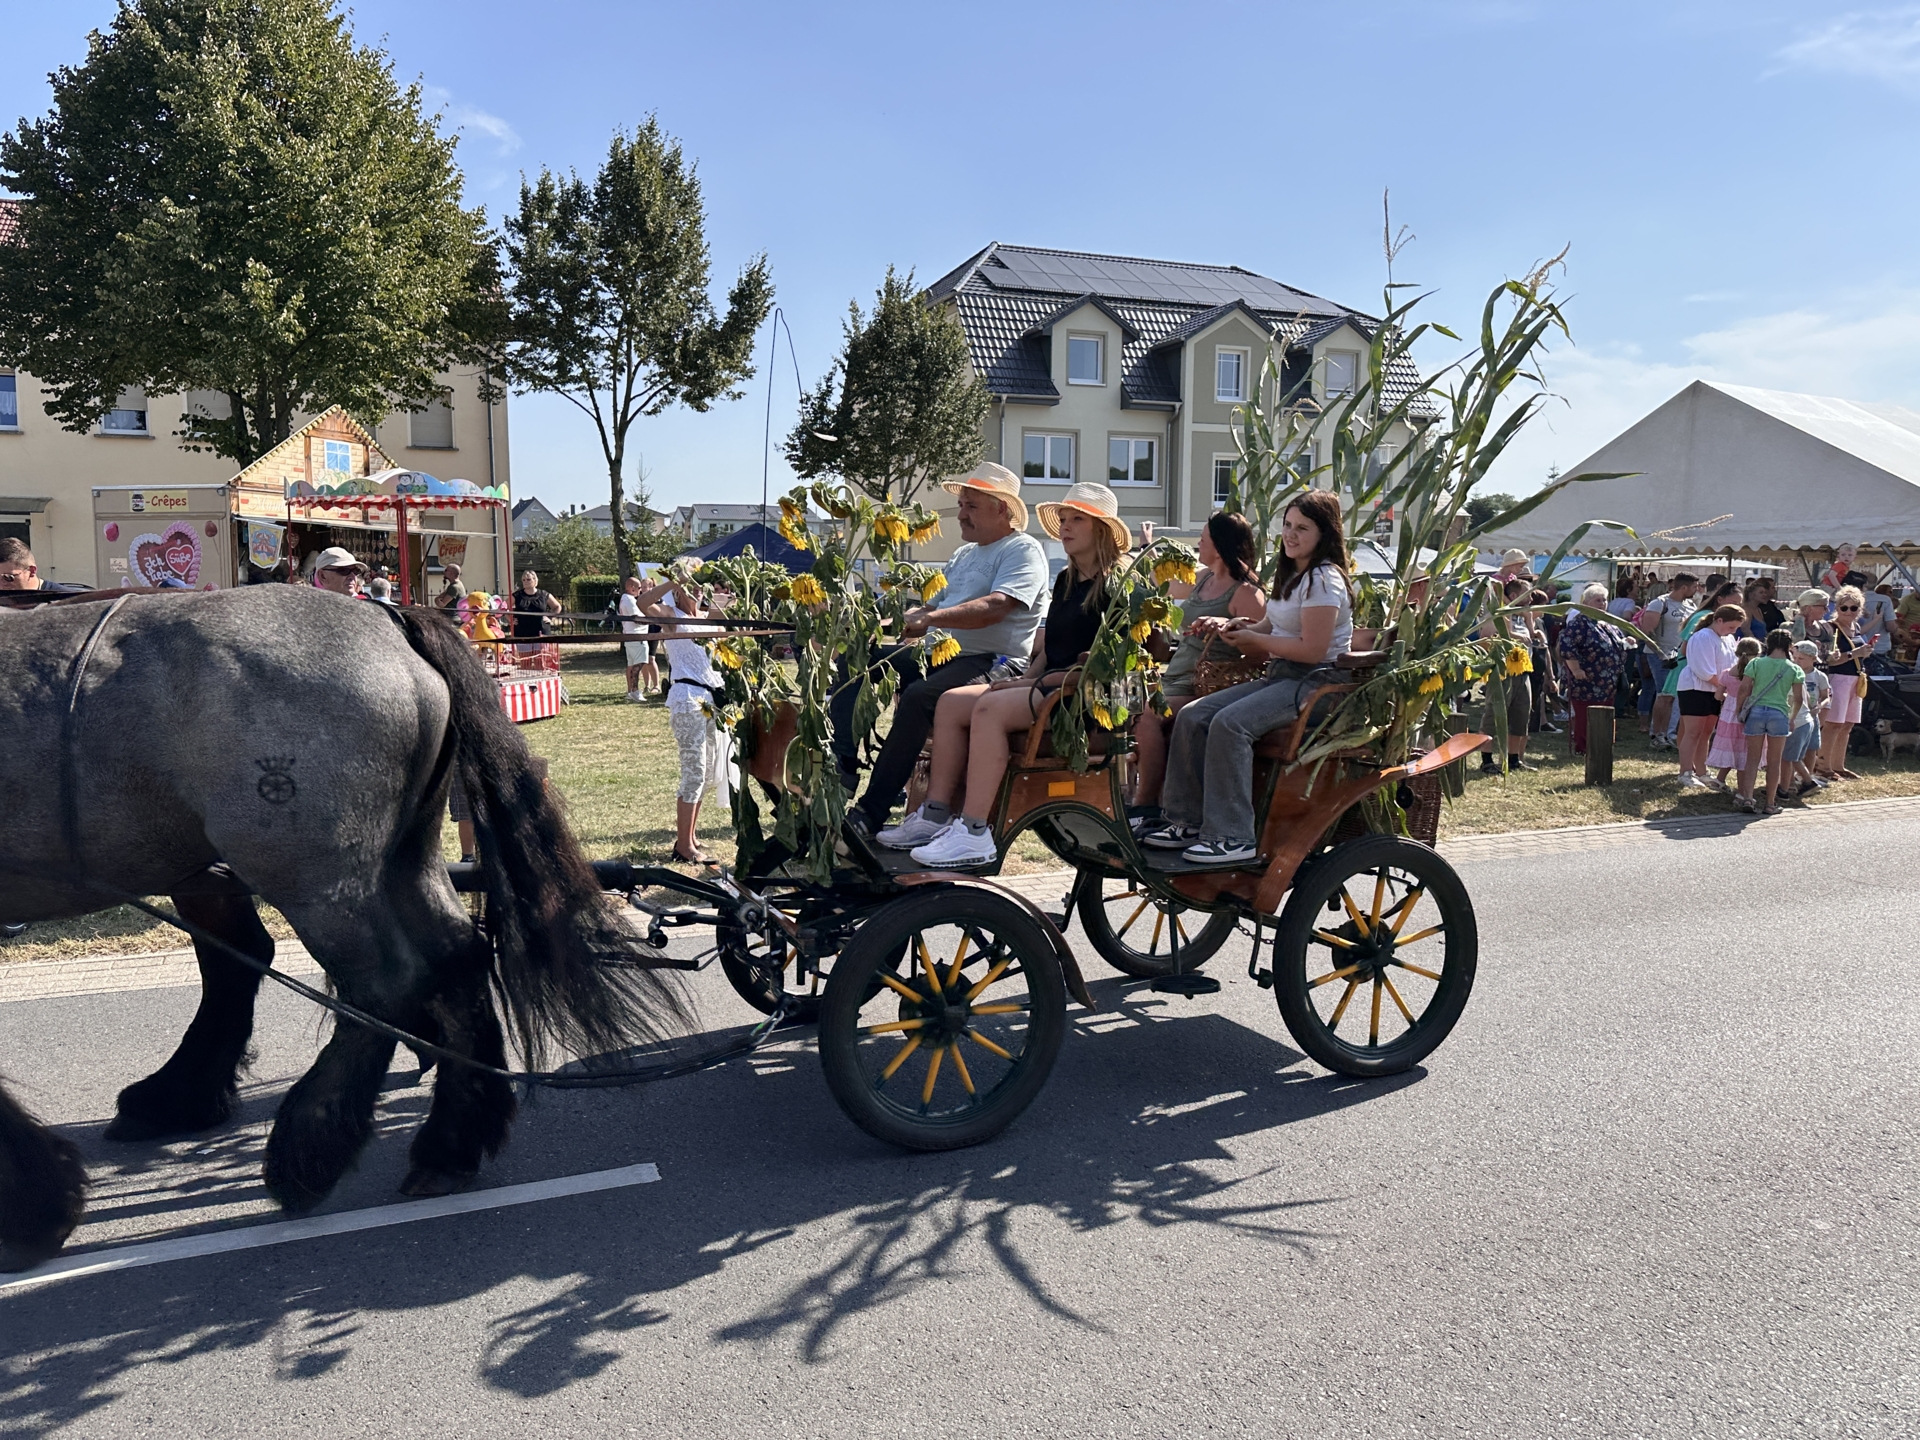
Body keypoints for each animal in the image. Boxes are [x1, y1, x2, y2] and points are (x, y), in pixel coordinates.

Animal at [0, 587, 691, 1274]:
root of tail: (388, 618)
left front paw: (35, 1203)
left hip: (314, 874)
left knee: (382, 986)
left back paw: (309, 1147)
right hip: (396, 854)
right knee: (454, 957)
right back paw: (450, 1143)